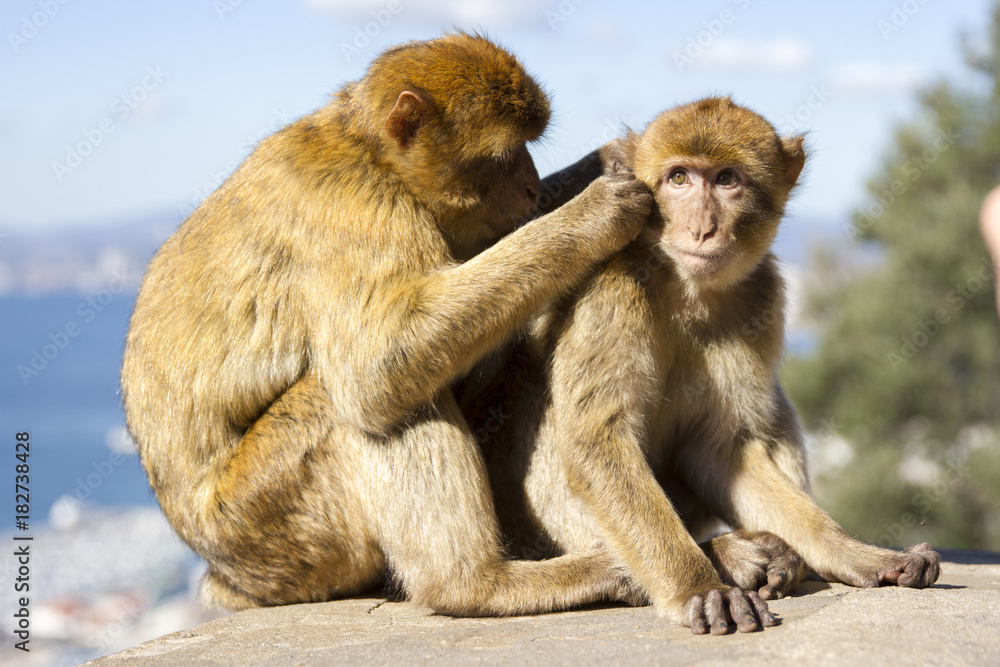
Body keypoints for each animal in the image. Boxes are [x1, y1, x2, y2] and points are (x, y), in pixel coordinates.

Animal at [120, 33, 656, 616]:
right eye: (505, 155)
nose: (533, 188)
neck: (372, 152)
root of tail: (231, 579)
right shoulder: (351, 206)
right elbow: (377, 362)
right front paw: (594, 214)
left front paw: (605, 160)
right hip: (268, 527)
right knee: (354, 401)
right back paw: (477, 585)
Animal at [466, 97, 941, 634]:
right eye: (679, 178)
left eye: (726, 179)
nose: (701, 228)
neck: (686, 288)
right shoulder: (612, 286)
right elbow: (596, 441)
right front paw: (699, 585)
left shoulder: (762, 298)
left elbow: (721, 451)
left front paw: (851, 550)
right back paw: (726, 555)